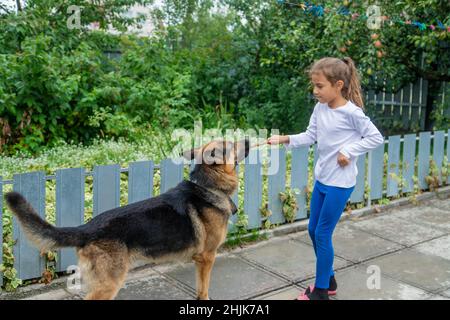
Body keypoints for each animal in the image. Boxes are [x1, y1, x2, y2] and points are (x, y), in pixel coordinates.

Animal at [3, 139, 250, 298]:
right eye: (231, 144)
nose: (248, 139)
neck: (207, 187)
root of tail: (87, 228)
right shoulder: (206, 258)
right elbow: (203, 289)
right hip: (109, 283)